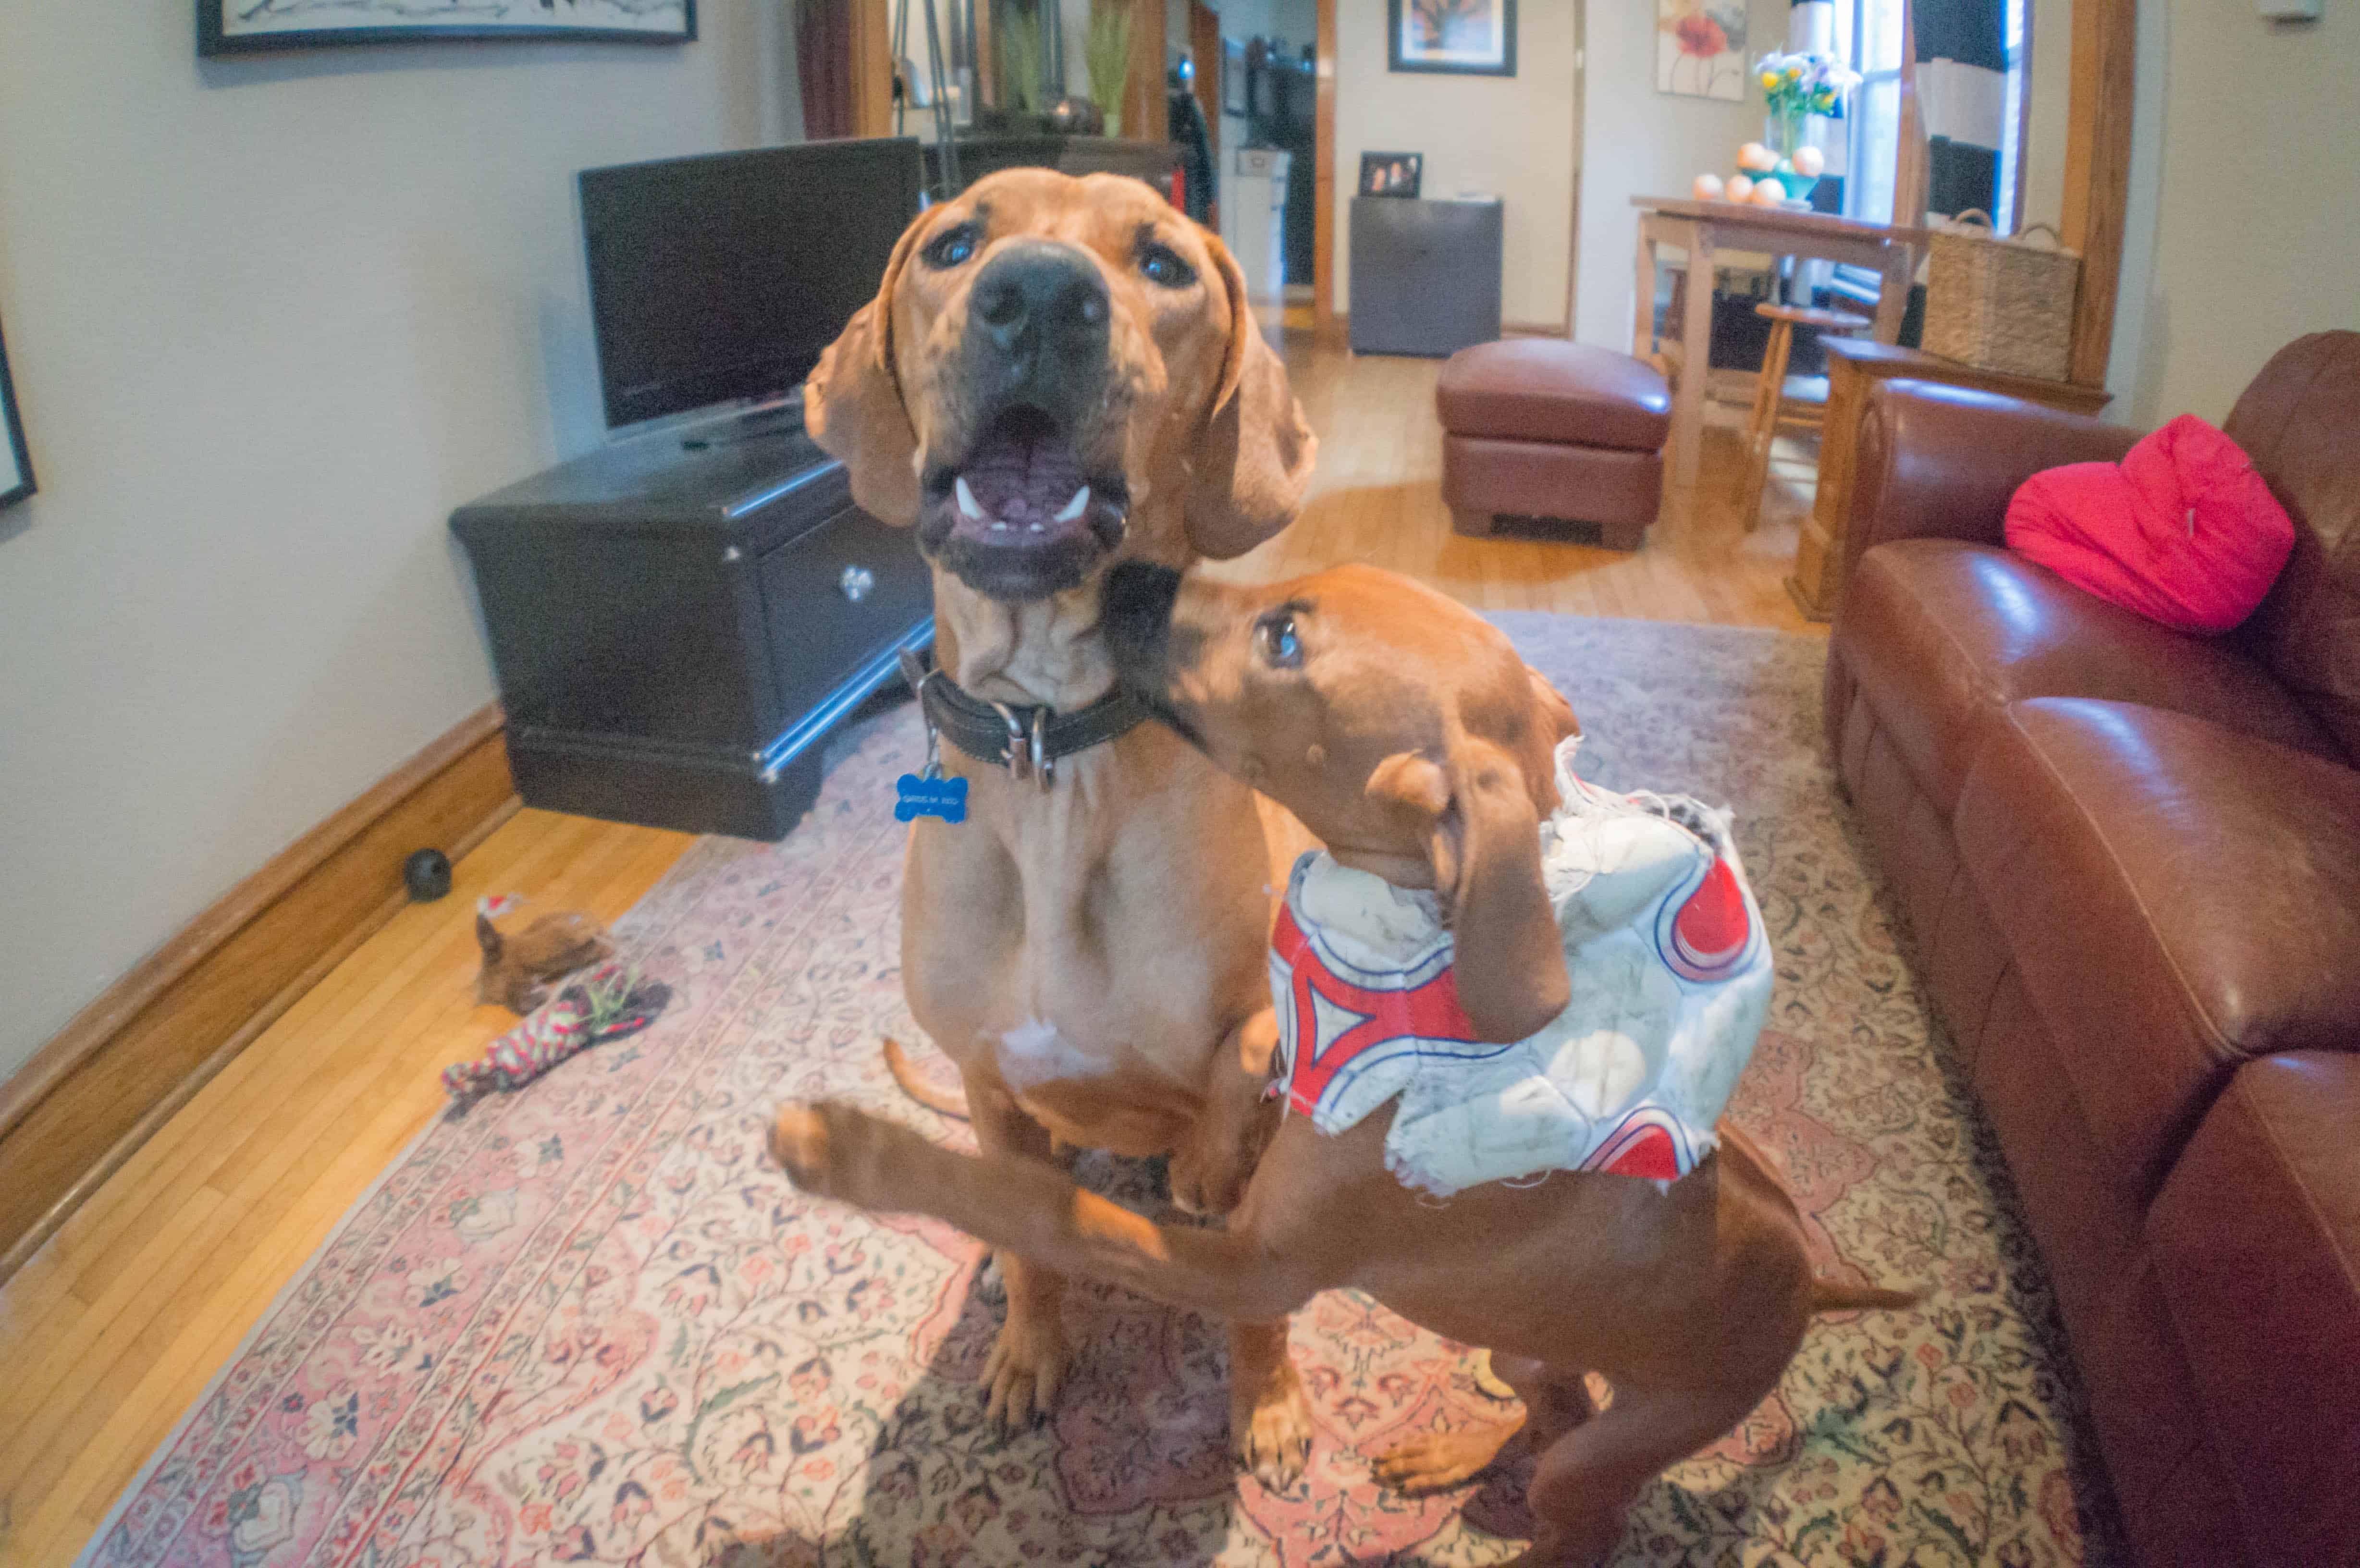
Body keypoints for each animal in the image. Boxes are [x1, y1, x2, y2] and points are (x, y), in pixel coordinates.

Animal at [774, 566, 1916, 1568]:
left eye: (1282, 640)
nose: (1122, 573)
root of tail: (1812, 1283)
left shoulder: (1253, 1264)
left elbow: (1041, 1207)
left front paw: (850, 1151)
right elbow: (1233, 1054)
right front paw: (1205, 1150)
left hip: (1643, 1430)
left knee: (1582, 1519)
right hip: (1524, 1344)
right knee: (1550, 1409)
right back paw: (1456, 1450)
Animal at [807, 169, 1331, 1473]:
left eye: (1164, 265)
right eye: (953, 245)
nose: (1039, 293)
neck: (1047, 741)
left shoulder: (1266, 1027)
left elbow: (1244, 1075)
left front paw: (1266, 1400)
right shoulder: (991, 1085)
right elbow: (1040, 1244)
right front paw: (1028, 1350)